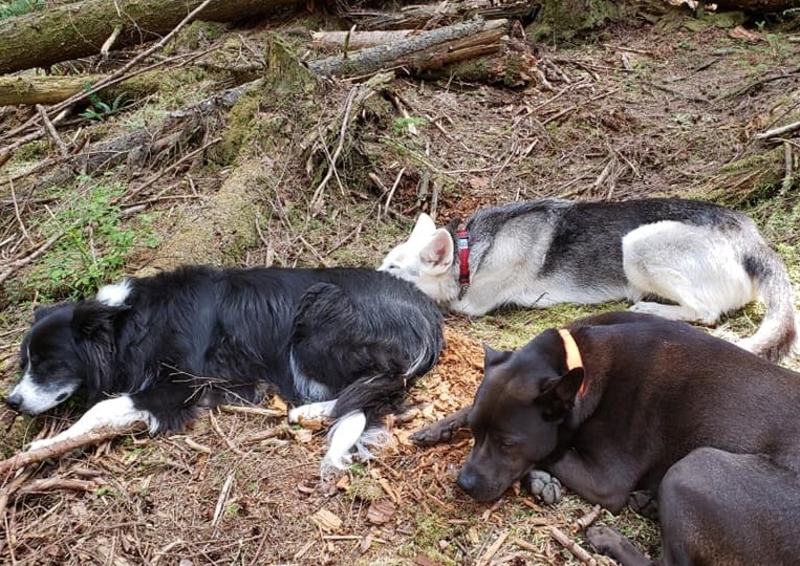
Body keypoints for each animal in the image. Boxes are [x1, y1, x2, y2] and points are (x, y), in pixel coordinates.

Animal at [6, 268, 444, 472]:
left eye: (48, 363)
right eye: (24, 363)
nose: (11, 402)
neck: (130, 323)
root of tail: (429, 314)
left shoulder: (180, 384)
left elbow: (99, 408)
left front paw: (43, 446)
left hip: (318, 311)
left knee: (385, 383)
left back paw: (309, 411)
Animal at [382, 197, 800, 362]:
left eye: (393, 271)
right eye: (386, 262)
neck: (468, 250)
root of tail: (751, 240)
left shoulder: (471, 305)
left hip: (638, 243)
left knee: (706, 312)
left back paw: (652, 308)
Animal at [456, 312, 800, 564]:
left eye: (507, 443)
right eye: (473, 431)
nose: (464, 483)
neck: (579, 365)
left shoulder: (606, 482)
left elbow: (553, 452)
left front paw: (538, 475)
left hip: (693, 468)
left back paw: (609, 539)